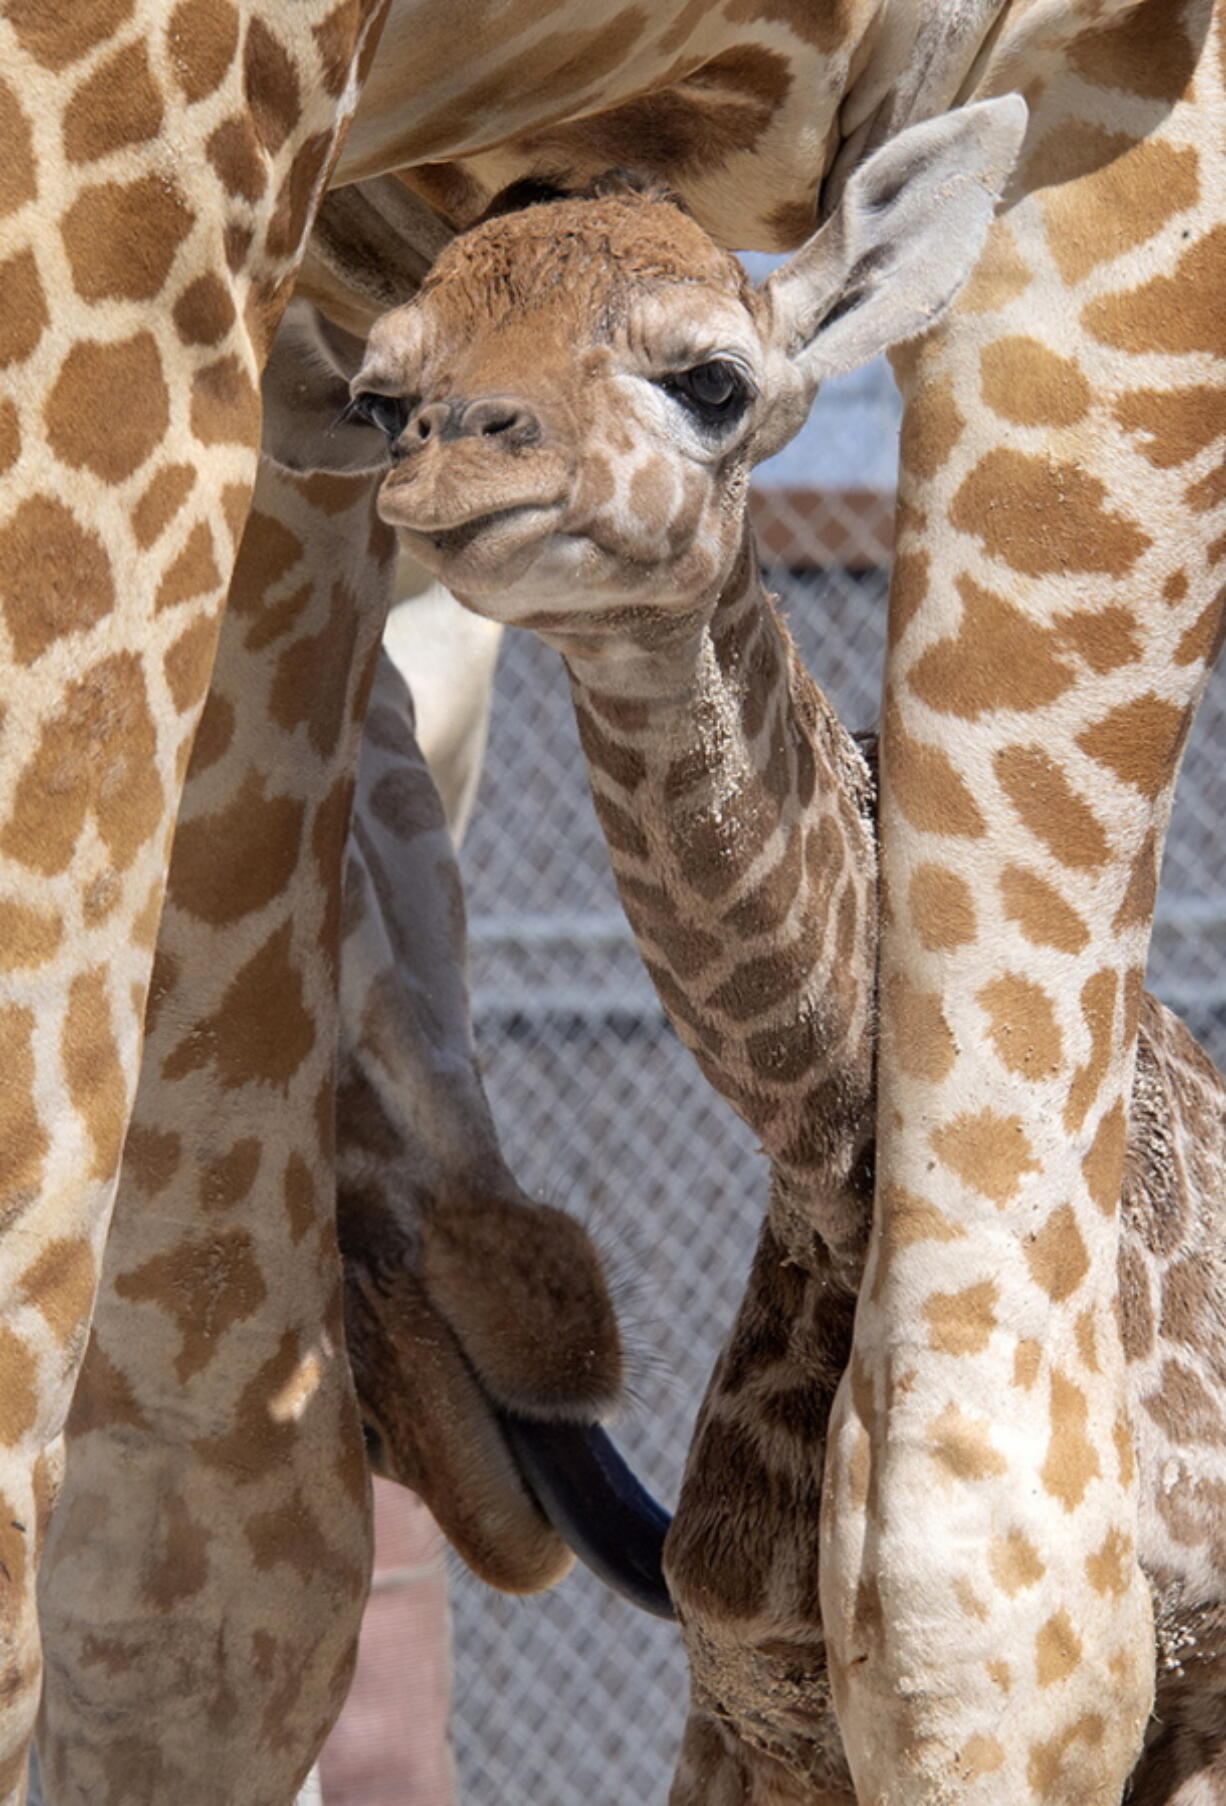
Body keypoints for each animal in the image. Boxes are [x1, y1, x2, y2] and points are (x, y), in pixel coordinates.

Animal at [355, 102, 1226, 1806]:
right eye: (381, 397)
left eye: (709, 378)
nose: (454, 462)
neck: (836, 1177)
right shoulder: (746, 1687)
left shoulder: (1175, 1686)